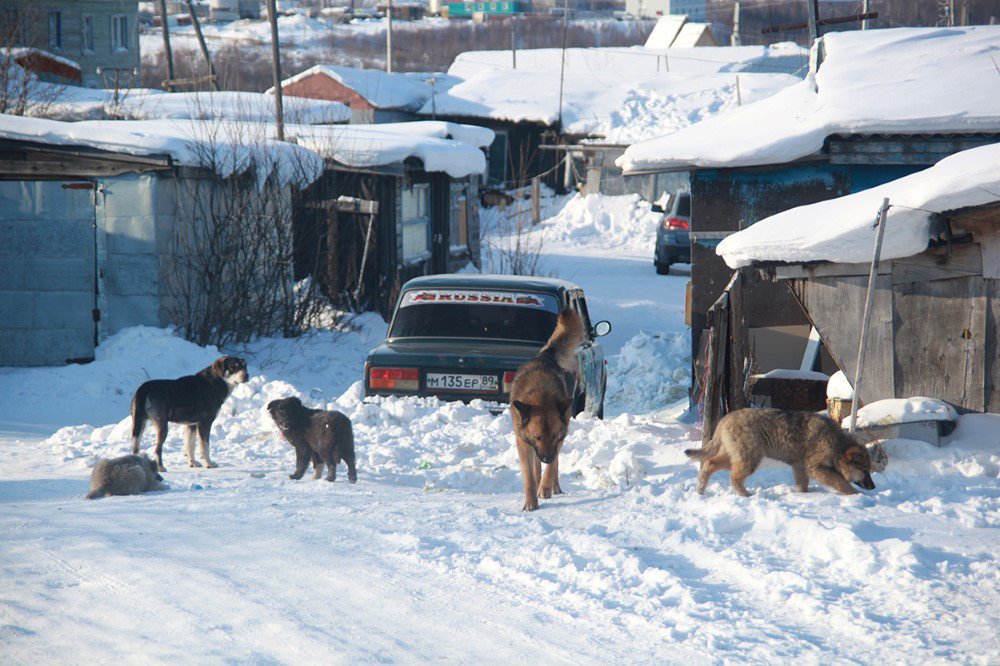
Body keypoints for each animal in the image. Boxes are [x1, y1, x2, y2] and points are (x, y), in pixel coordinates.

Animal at [512, 308, 584, 510]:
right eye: (537, 437)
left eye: (553, 435)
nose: (546, 458)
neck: (540, 397)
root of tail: (545, 354)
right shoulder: (524, 443)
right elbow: (529, 476)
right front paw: (530, 501)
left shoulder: (559, 438)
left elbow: (552, 468)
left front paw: (545, 488)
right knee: (537, 467)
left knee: (555, 465)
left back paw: (553, 486)